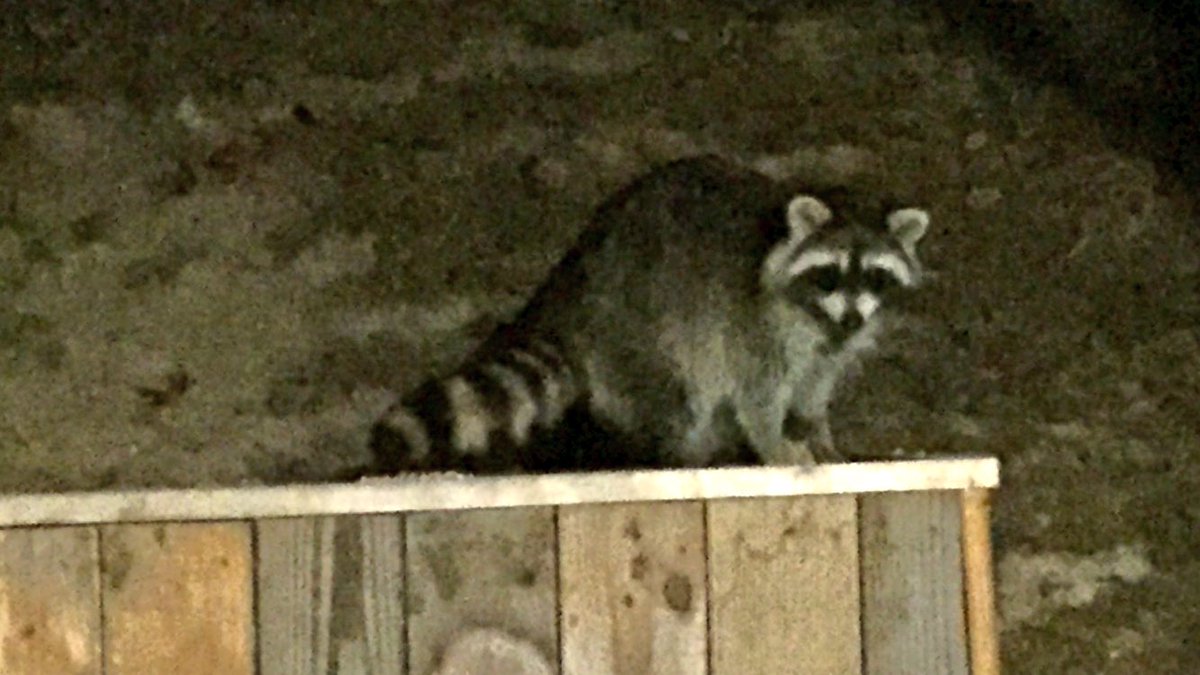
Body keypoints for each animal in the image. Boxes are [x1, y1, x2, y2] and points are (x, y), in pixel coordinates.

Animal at [367, 155, 929, 475]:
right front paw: (775, 443)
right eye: (830, 274)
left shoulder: (829, 341)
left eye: (875, 277)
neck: (817, 315)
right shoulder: (753, 319)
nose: (852, 321)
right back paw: (679, 456)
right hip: (641, 327)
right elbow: (758, 391)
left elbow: (816, 383)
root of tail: (575, 279)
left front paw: (818, 432)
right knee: (676, 400)